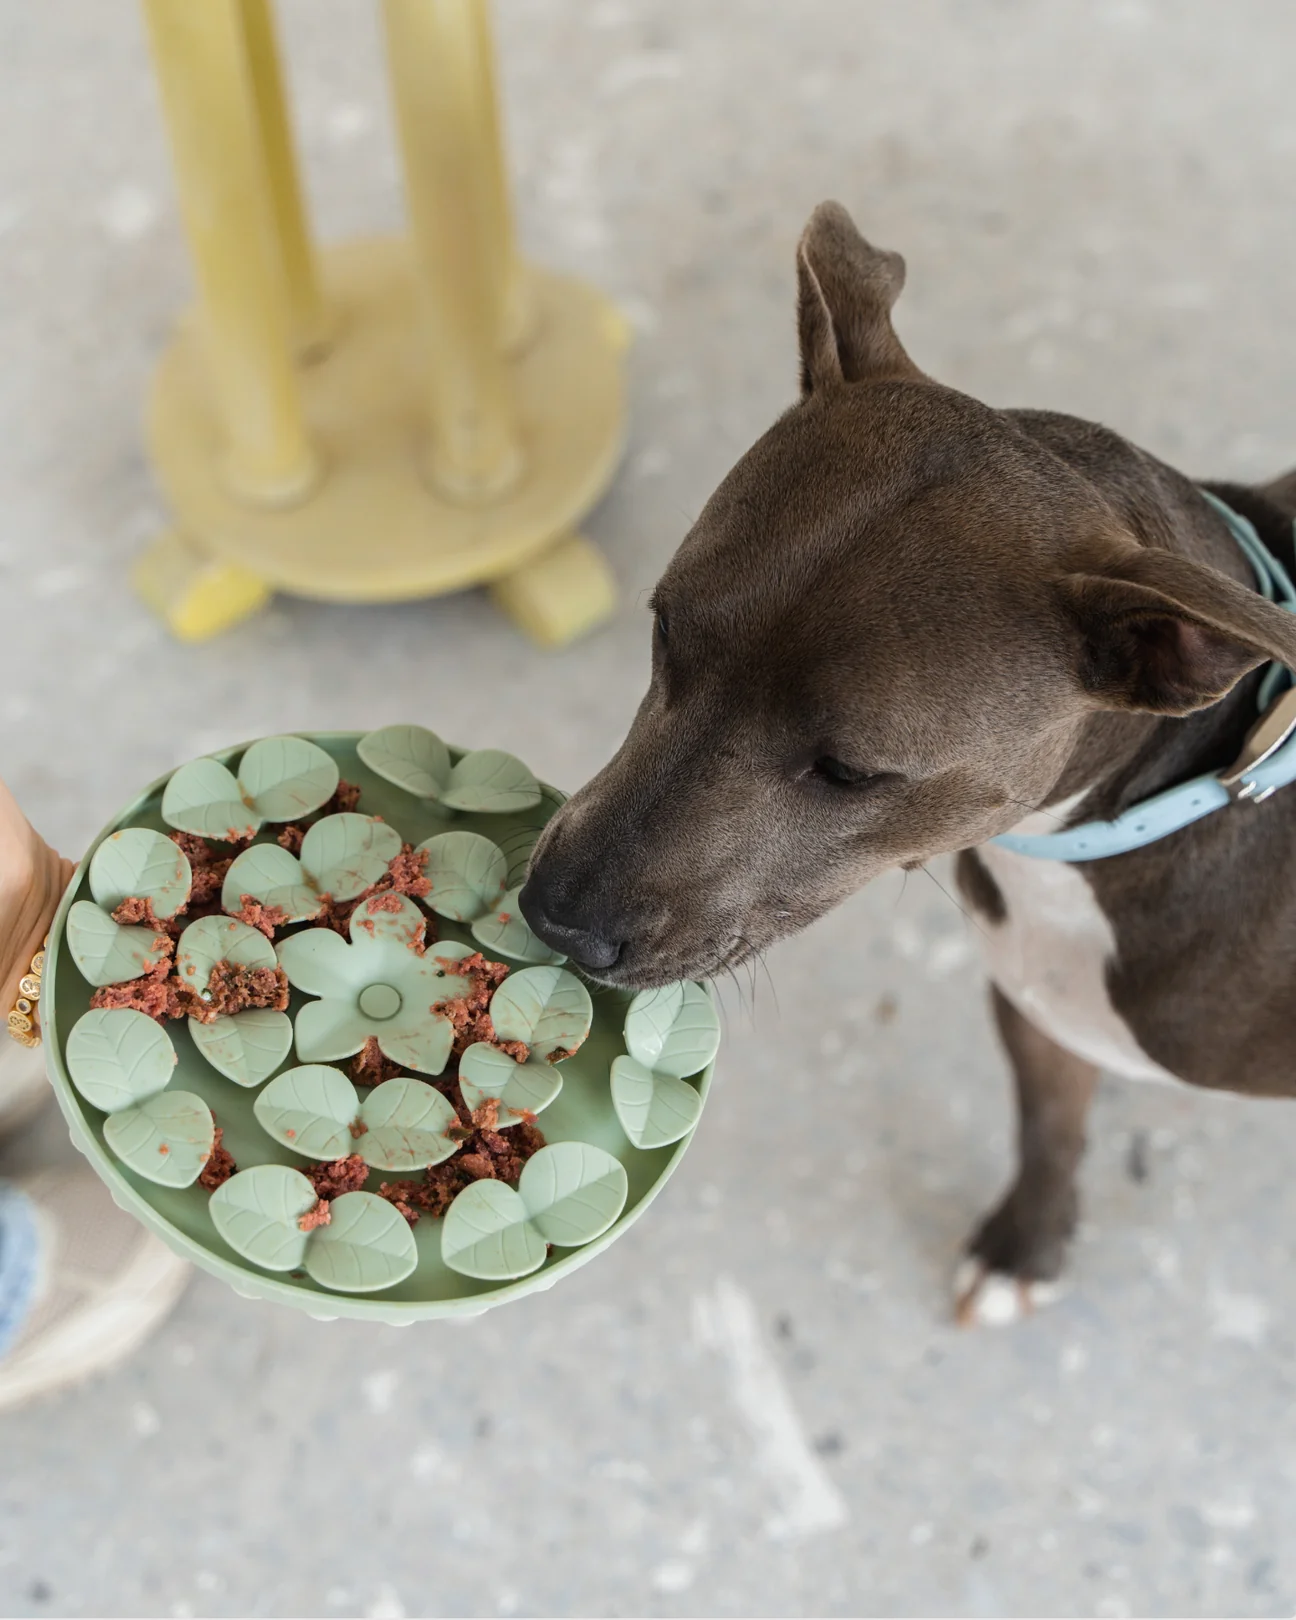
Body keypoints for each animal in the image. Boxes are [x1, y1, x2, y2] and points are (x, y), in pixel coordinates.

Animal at [521, 202, 1296, 1321]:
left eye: (850, 771)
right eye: (664, 631)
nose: (557, 916)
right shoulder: (1041, 1014)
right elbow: (1048, 1126)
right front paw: (1026, 1248)